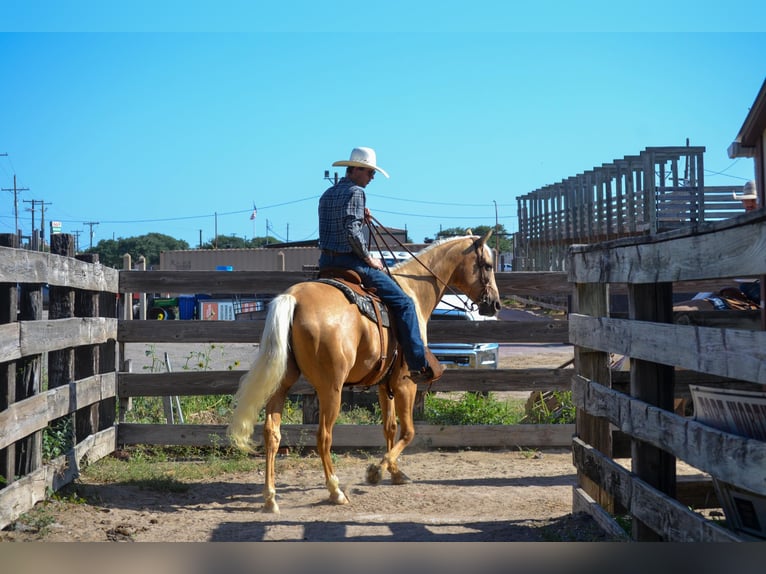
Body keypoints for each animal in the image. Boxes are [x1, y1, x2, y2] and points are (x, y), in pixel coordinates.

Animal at [226, 232, 504, 516]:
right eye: (488, 265)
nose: (494, 304)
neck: (414, 292)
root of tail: (294, 298)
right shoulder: (405, 383)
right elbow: (409, 431)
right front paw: (376, 471)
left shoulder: (384, 384)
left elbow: (389, 428)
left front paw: (395, 473)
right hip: (331, 389)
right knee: (323, 436)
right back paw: (335, 491)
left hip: (282, 383)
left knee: (272, 433)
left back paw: (271, 498)